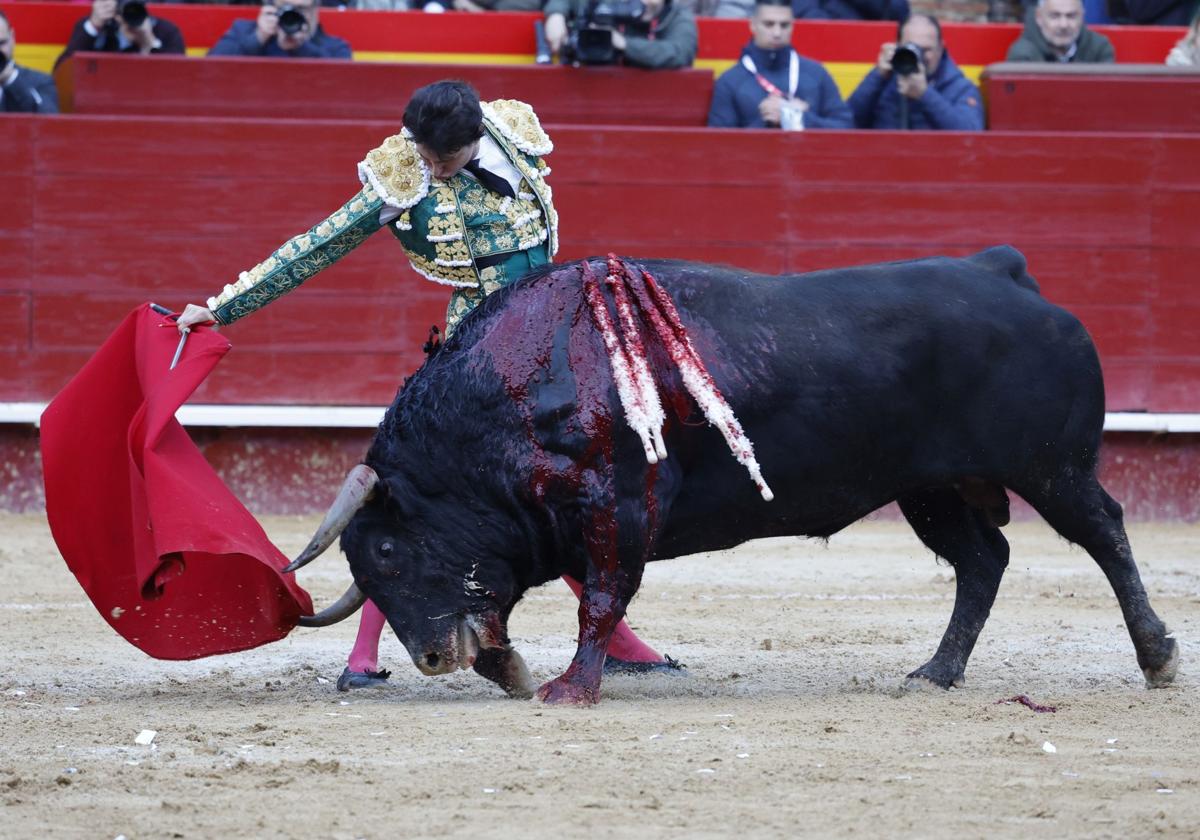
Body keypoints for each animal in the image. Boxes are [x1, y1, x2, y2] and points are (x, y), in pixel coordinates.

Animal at [292, 246, 1180, 705]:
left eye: (388, 553)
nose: (429, 659)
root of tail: (1005, 272)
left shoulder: (620, 511)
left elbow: (601, 601)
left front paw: (571, 690)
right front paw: (514, 671)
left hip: (1050, 467)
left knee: (1106, 533)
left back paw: (1157, 657)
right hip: (930, 489)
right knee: (984, 560)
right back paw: (936, 672)